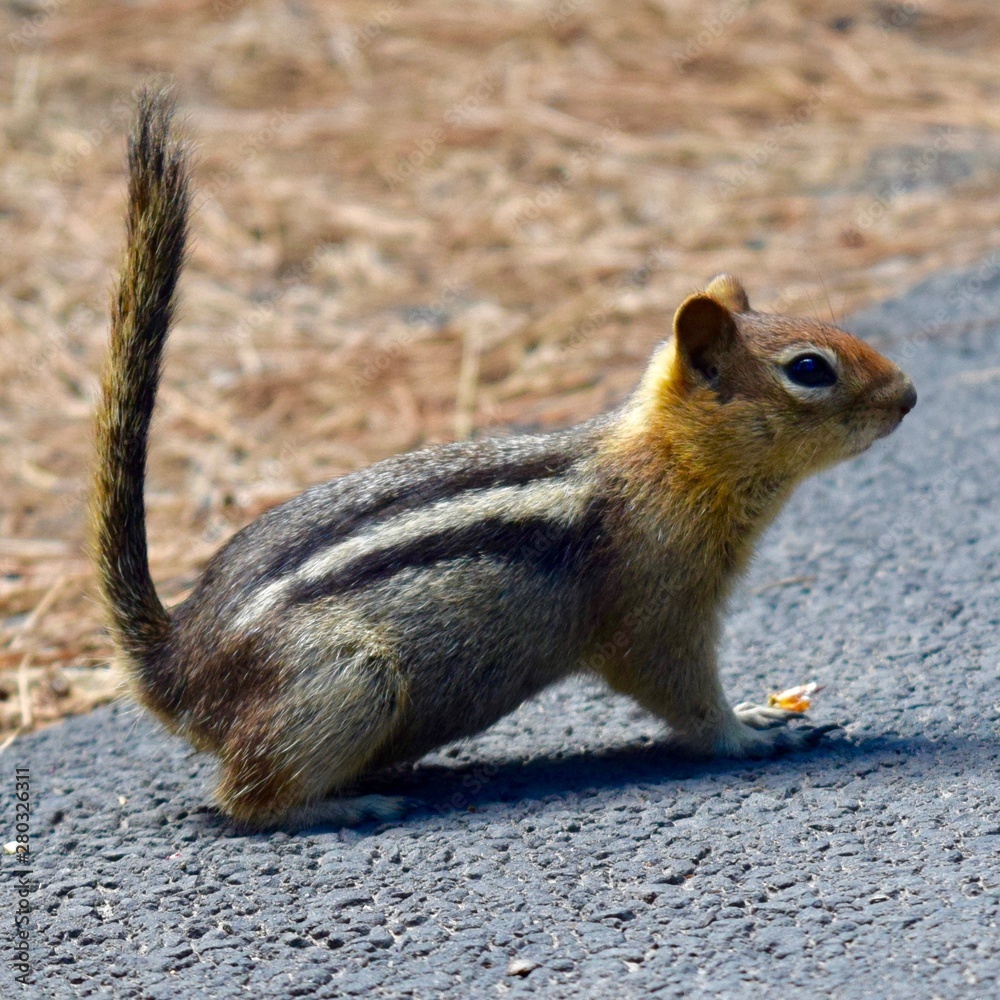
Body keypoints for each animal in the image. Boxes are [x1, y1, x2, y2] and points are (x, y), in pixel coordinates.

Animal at [90, 90, 917, 829]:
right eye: (809, 369)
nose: (908, 396)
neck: (666, 462)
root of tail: (177, 665)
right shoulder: (658, 605)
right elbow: (679, 690)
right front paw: (745, 732)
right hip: (345, 682)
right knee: (245, 799)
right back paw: (349, 805)